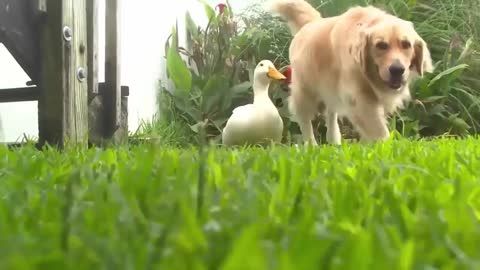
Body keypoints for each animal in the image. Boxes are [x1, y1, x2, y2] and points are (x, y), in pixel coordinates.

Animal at [268, 0, 434, 144]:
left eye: (406, 44)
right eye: (381, 45)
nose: (397, 70)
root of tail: (310, 23)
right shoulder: (360, 98)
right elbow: (378, 130)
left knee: (331, 115)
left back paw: (334, 141)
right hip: (305, 92)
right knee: (305, 121)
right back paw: (311, 146)